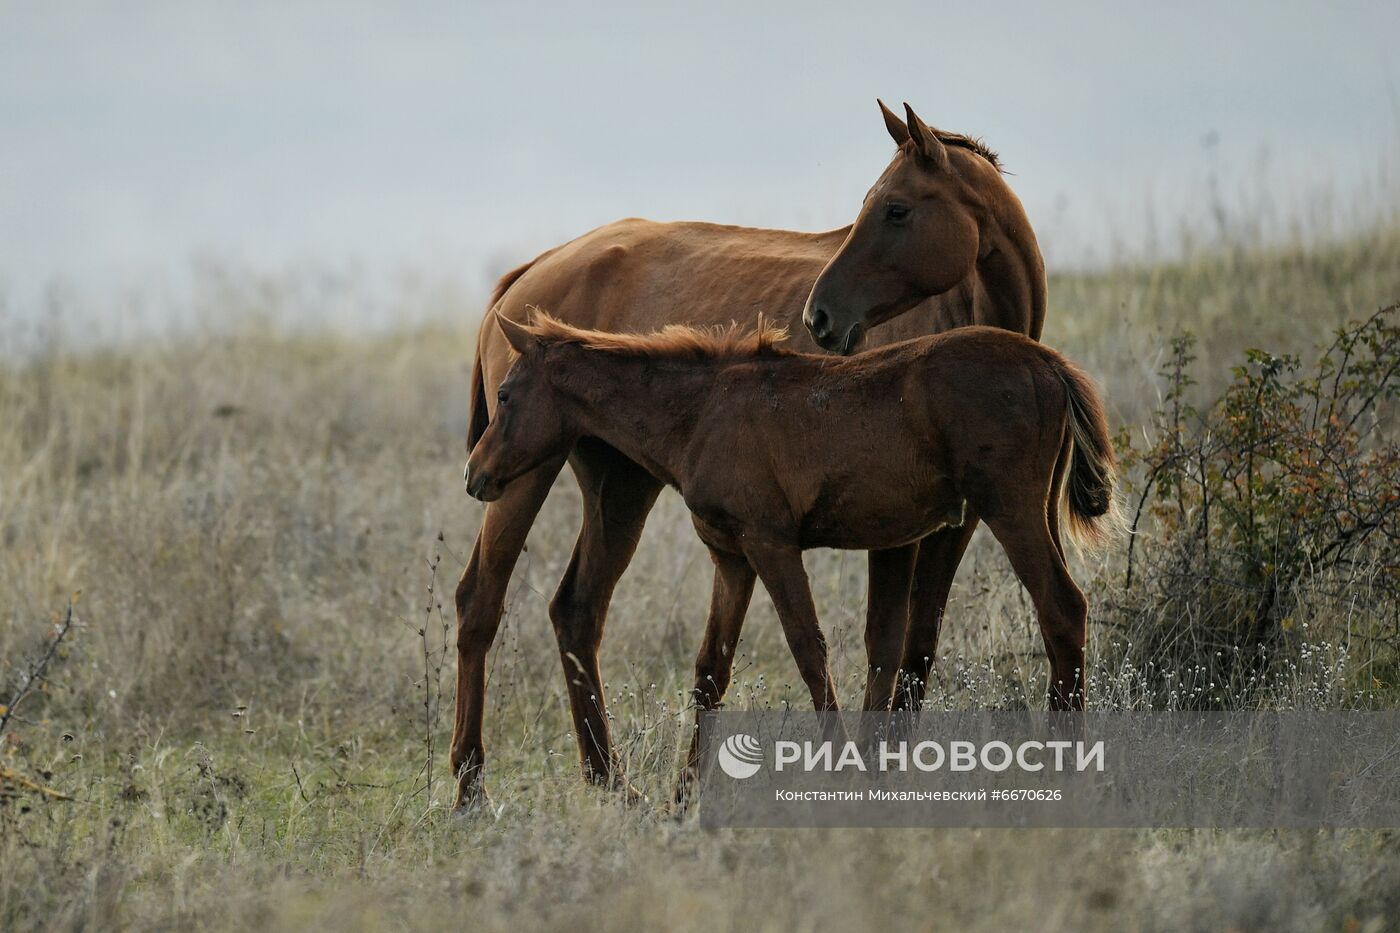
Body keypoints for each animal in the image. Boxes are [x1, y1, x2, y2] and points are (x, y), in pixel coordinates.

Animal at [452, 101, 1046, 807]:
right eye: (872, 205)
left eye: (896, 209)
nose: (821, 318)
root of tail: (529, 274)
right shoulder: (894, 531)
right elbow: (881, 643)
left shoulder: (955, 523)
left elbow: (915, 646)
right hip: (521, 475)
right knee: (480, 602)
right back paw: (470, 787)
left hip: (618, 486)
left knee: (577, 610)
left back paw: (610, 781)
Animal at [465, 313, 1117, 797]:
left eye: (506, 393)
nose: (476, 476)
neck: (702, 410)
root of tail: (1047, 363)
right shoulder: (731, 557)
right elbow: (710, 670)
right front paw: (681, 799)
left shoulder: (770, 543)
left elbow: (808, 650)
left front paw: (843, 772)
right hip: (1031, 514)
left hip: (1010, 511)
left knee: (1062, 609)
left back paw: (1064, 763)